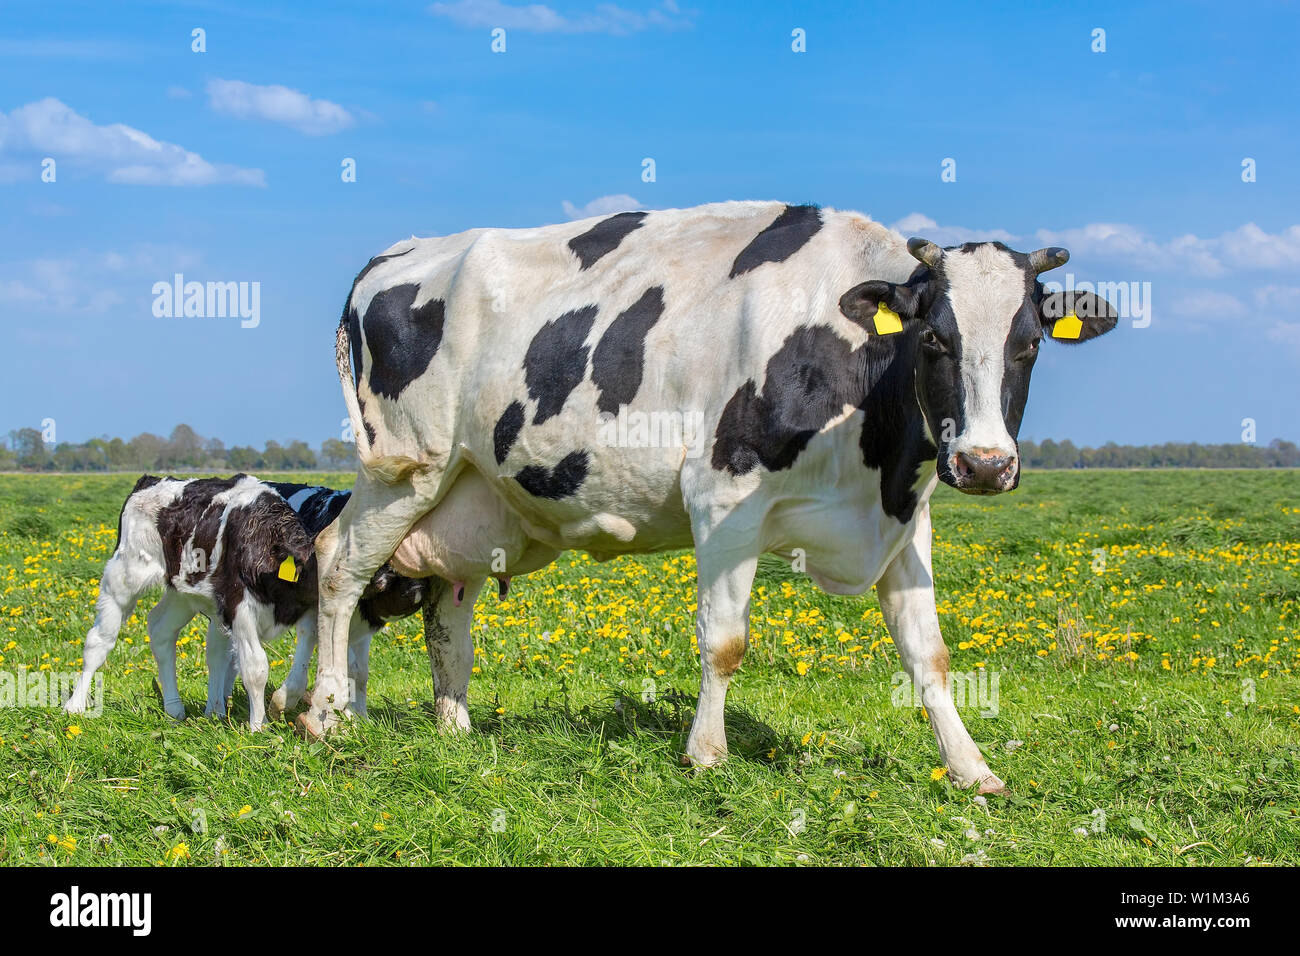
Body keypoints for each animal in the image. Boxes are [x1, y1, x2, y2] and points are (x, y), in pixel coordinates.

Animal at [63, 476, 428, 728]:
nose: (413, 590)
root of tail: (151, 481)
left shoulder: (312, 612)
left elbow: (350, 669)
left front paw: (353, 717)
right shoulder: (239, 608)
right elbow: (255, 668)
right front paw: (258, 726)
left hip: (182, 592)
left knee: (163, 630)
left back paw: (178, 709)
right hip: (123, 576)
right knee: (100, 640)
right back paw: (76, 705)